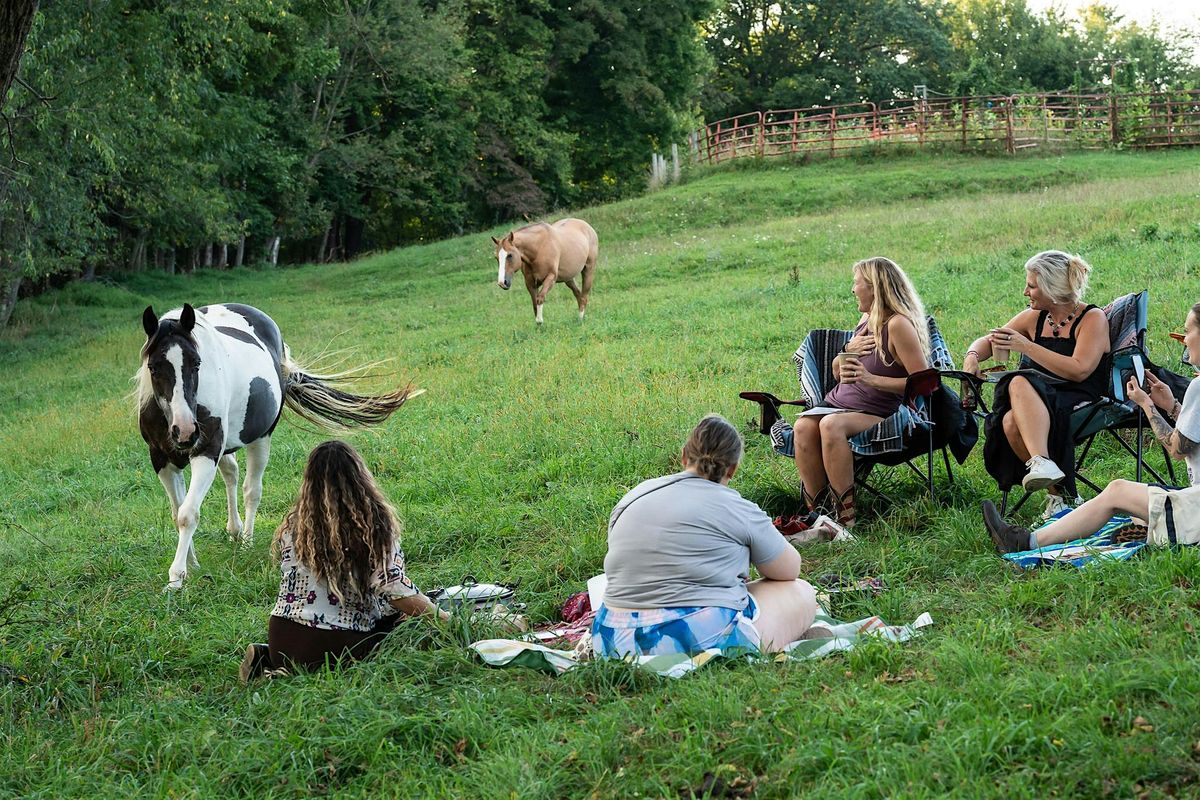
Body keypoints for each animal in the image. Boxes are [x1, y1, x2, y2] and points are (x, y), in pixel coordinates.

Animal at [137, 303, 412, 592]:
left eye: (196, 363)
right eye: (153, 367)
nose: (185, 431)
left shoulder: (206, 451)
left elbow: (187, 514)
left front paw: (177, 576)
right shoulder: (162, 460)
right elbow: (177, 511)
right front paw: (191, 563)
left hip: (260, 439)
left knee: (251, 490)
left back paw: (246, 540)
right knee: (231, 474)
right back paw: (234, 530)